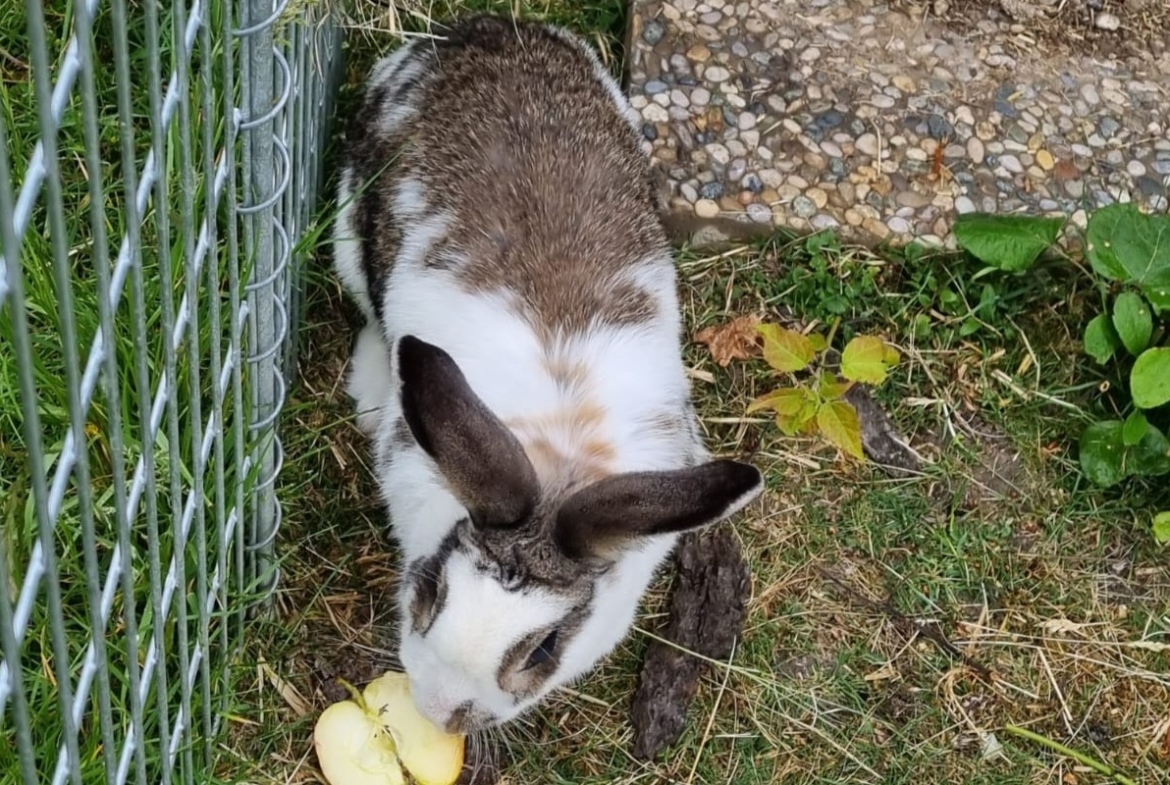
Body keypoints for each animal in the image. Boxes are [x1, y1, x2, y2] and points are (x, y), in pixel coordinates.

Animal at [330, 14, 763, 734]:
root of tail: (477, 32)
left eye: (545, 647)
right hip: (349, 228)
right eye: (432, 589)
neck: (557, 462)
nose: (439, 711)